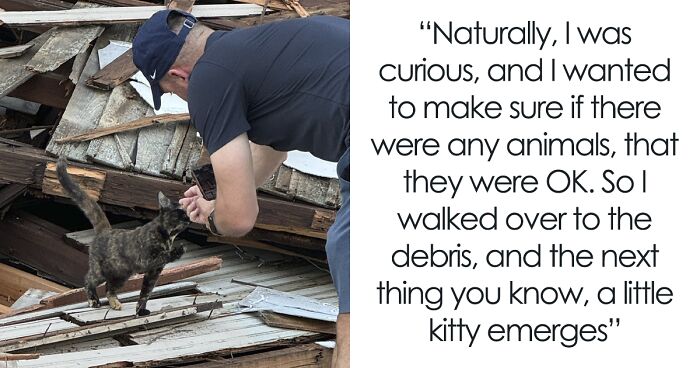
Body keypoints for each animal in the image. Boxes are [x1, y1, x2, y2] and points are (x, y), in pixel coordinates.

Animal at [57, 155, 190, 316]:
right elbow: (164, 255)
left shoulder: (154, 272)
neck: (168, 237)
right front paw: (178, 250)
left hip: (121, 275)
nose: (188, 218)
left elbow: (146, 293)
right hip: (100, 271)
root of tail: (105, 230)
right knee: (88, 280)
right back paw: (93, 300)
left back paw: (115, 303)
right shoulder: (146, 261)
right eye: (180, 212)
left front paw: (140, 311)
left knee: (109, 288)